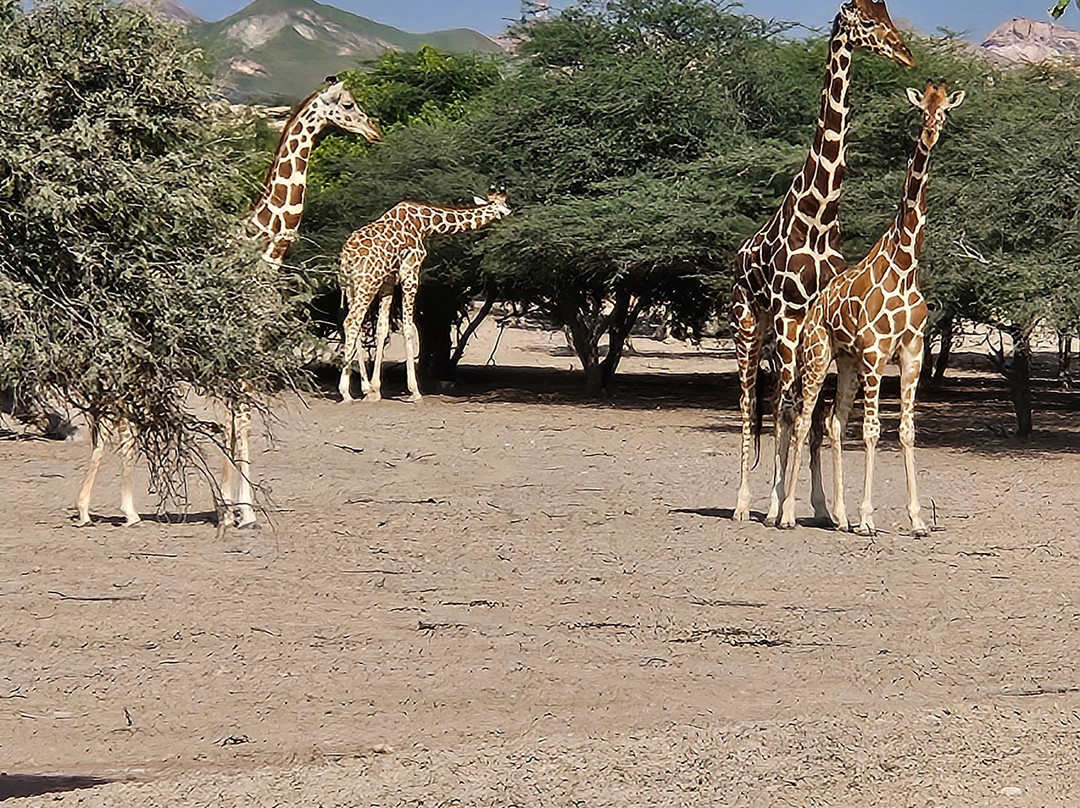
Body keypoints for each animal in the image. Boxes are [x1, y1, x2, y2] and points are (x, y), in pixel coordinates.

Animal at [76, 77, 380, 529]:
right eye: (347, 104)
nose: (374, 131)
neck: (265, 249)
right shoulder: (241, 340)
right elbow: (240, 419)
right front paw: (238, 510)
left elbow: (237, 417)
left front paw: (233, 507)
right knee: (117, 410)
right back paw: (112, 509)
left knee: (116, 410)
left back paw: (103, 508)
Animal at [336, 189, 509, 404]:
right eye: (502, 207)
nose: (510, 215)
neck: (425, 224)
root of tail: (346, 258)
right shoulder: (410, 272)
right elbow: (408, 328)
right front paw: (414, 391)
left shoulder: (388, 282)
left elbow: (382, 329)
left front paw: (375, 390)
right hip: (366, 285)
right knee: (351, 322)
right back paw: (345, 392)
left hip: (351, 287)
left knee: (355, 325)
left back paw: (363, 388)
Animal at [730, 0, 915, 524]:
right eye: (867, 22)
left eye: (888, 14)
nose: (905, 53)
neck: (819, 215)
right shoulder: (789, 315)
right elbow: (791, 409)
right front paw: (782, 506)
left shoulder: (821, 323)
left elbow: (816, 415)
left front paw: (822, 506)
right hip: (749, 326)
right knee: (752, 404)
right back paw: (745, 505)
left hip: (779, 334)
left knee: (782, 402)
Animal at [781, 82, 967, 535]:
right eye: (921, 110)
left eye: (944, 111)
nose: (931, 133)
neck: (905, 264)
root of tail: (813, 308)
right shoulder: (876, 352)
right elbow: (870, 430)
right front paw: (868, 518)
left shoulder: (912, 352)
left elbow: (906, 430)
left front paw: (917, 519)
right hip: (818, 354)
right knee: (804, 417)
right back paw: (789, 514)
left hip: (846, 361)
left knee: (832, 420)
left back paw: (840, 517)